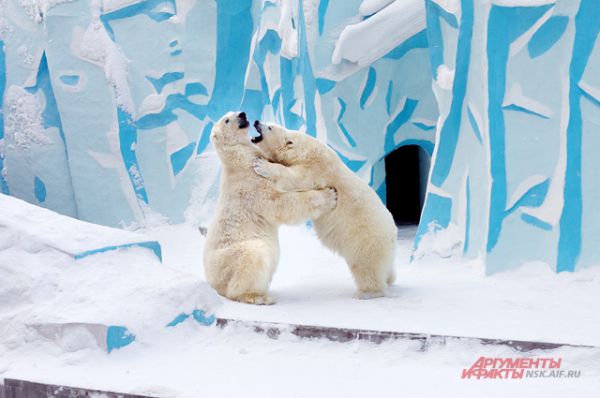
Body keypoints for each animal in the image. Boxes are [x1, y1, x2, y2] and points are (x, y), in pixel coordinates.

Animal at [204, 112, 338, 304]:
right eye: (227, 120)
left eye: (233, 112)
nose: (242, 114)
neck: (240, 161)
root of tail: (212, 283)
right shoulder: (253, 186)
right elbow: (281, 204)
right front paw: (329, 195)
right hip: (231, 259)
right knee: (254, 255)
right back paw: (259, 297)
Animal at [251, 121, 396, 298]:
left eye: (270, 127)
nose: (257, 122)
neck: (304, 149)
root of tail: (393, 235)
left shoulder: (316, 168)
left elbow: (295, 178)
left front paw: (262, 165)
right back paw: (389, 279)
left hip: (365, 239)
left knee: (365, 265)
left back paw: (366, 292)